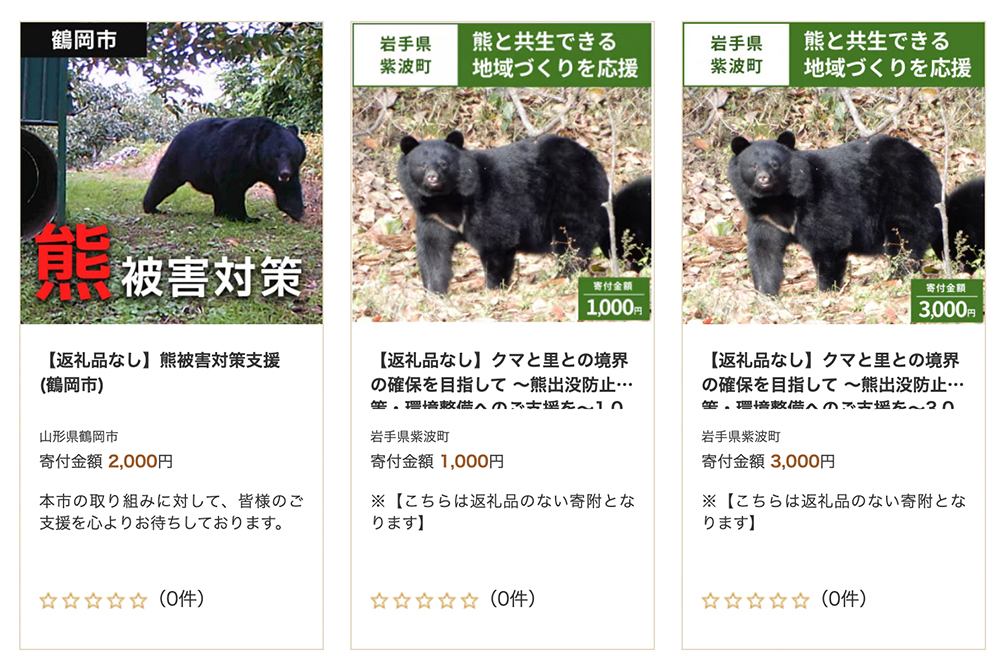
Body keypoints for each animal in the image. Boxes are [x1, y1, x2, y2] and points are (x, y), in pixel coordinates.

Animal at [143, 117, 306, 222]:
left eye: (292, 155)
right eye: (276, 156)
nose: (285, 174)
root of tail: (179, 133)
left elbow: (288, 188)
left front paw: (295, 211)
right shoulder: (233, 157)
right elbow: (233, 188)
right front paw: (244, 217)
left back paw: (219, 212)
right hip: (180, 157)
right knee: (164, 180)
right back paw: (150, 207)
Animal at [397, 130, 610, 294]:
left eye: (443, 164)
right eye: (422, 165)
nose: (432, 178)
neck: (447, 199)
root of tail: (593, 160)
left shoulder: (487, 201)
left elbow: (497, 240)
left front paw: (493, 287)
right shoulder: (433, 217)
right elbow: (433, 250)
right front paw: (435, 291)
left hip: (572, 195)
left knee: (573, 238)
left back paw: (565, 274)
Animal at [728, 131, 942, 296]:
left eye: (775, 164)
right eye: (753, 165)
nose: (764, 178)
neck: (777, 200)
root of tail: (926, 162)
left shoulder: (818, 201)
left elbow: (828, 240)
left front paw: (825, 289)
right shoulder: (764, 219)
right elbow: (765, 252)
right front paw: (766, 293)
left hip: (904, 194)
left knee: (905, 238)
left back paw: (898, 275)